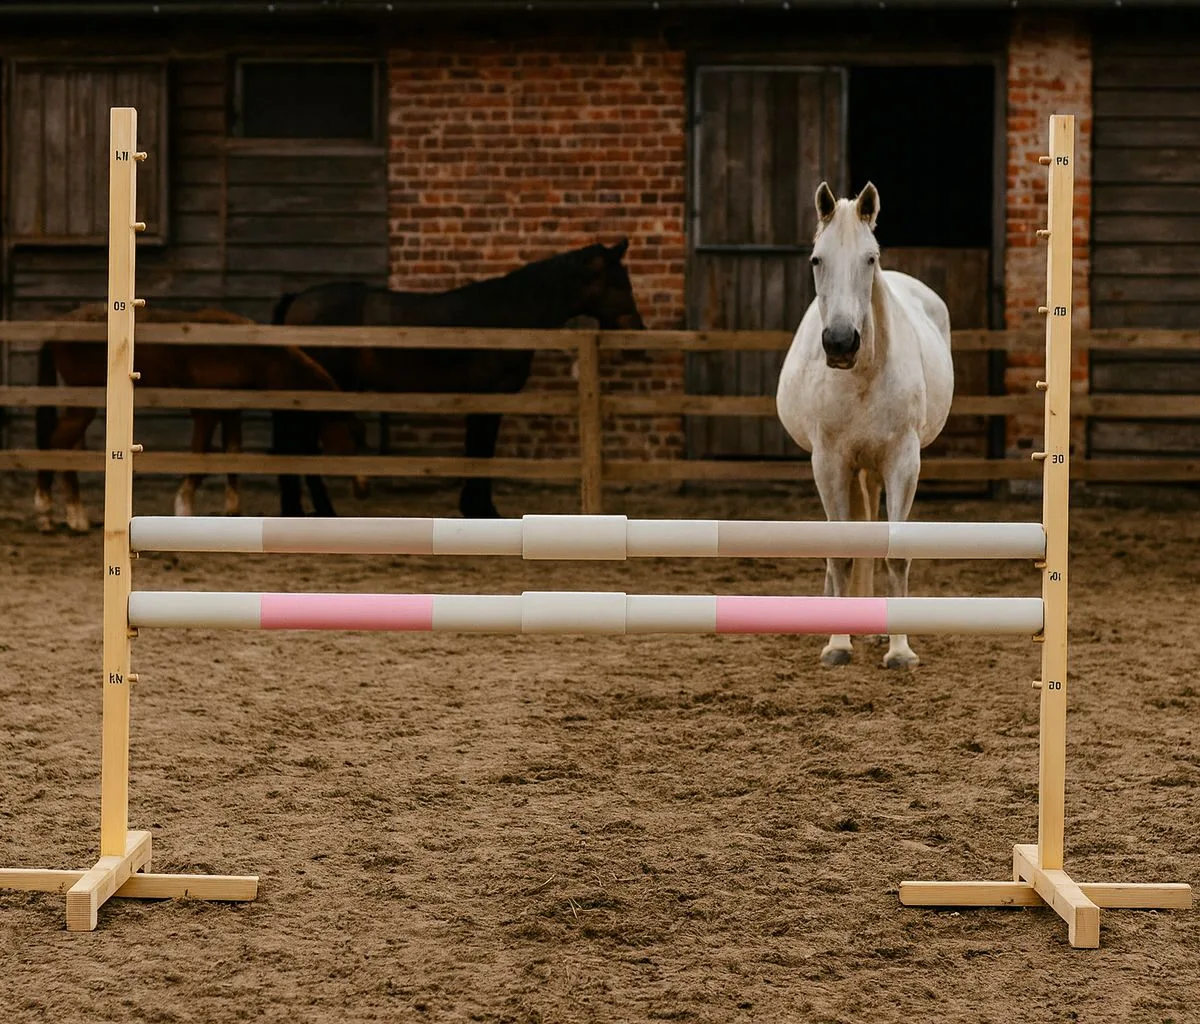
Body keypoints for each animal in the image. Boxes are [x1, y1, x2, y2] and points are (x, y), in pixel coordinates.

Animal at [34, 303, 360, 532]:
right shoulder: (206, 410)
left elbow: (232, 456)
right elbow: (199, 459)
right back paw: (50, 514)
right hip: (83, 406)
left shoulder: (231, 410)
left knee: (67, 450)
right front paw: (184, 507)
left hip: (81, 404)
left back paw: (74, 515)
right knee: (54, 445)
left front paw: (233, 509)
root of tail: (56, 329)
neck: (243, 350)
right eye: (349, 432)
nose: (361, 485)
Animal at [271, 238, 645, 519]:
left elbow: (478, 451)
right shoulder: (489, 397)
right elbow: (481, 451)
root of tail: (297, 300)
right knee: (300, 445)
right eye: (619, 283)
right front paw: (482, 510)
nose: (638, 333)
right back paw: (320, 510)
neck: (506, 317)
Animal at [775, 183, 954, 669]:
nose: (840, 342)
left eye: (870, 258)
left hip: (873, 467)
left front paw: (900, 649)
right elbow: (840, 553)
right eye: (816, 259)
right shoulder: (830, 462)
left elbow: (895, 554)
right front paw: (837, 643)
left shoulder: (902, 462)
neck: (863, 374)